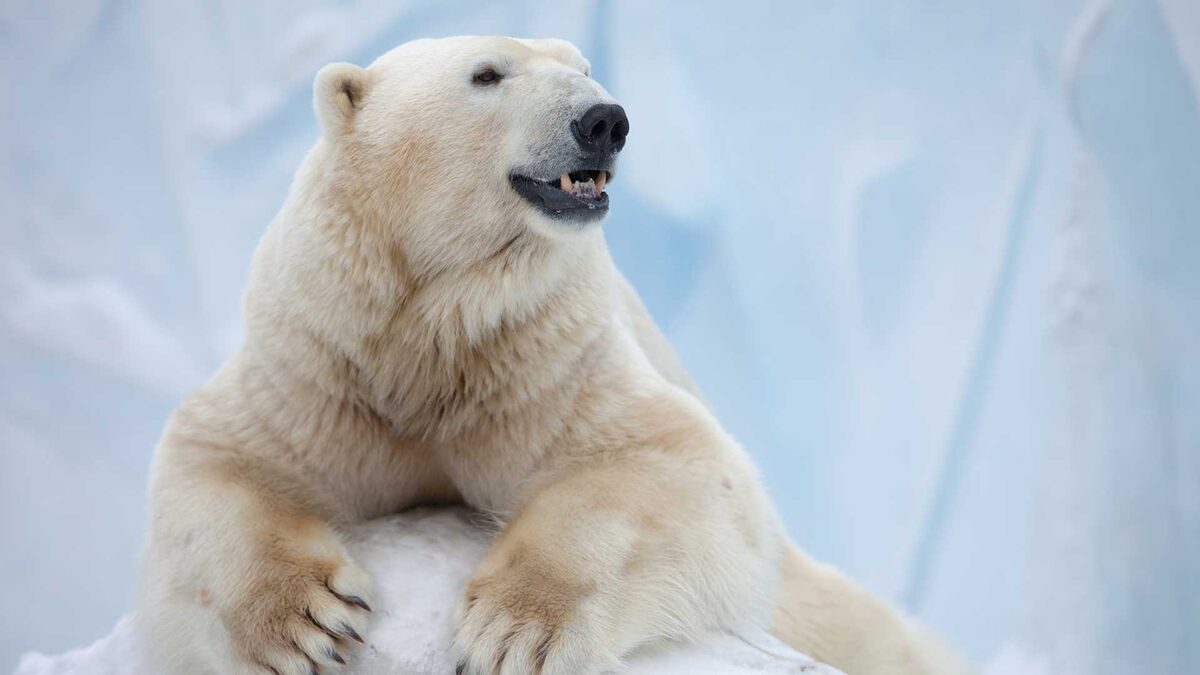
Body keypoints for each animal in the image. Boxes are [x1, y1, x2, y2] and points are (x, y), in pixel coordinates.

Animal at [136, 36, 969, 675]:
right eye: (486, 73)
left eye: (583, 62)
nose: (604, 118)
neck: (435, 326)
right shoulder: (321, 361)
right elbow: (218, 459)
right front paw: (307, 622)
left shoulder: (546, 359)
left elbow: (663, 462)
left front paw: (515, 629)